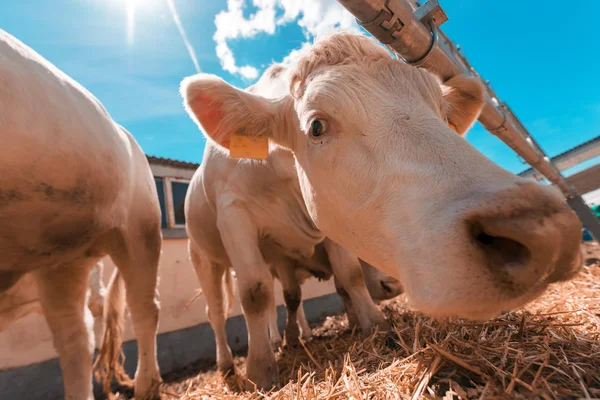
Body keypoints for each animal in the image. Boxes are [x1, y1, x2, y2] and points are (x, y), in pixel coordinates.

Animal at [180, 32, 584, 390]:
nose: (547, 231)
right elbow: (255, 292)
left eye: (442, 113)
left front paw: (376, 328)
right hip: (203, 257)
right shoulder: (234, 214)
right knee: (218, 311)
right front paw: (260, 371)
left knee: (292, 298)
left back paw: (292, 339)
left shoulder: (330, 223)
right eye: (316, 126)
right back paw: (229, 363)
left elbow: (349, 276)